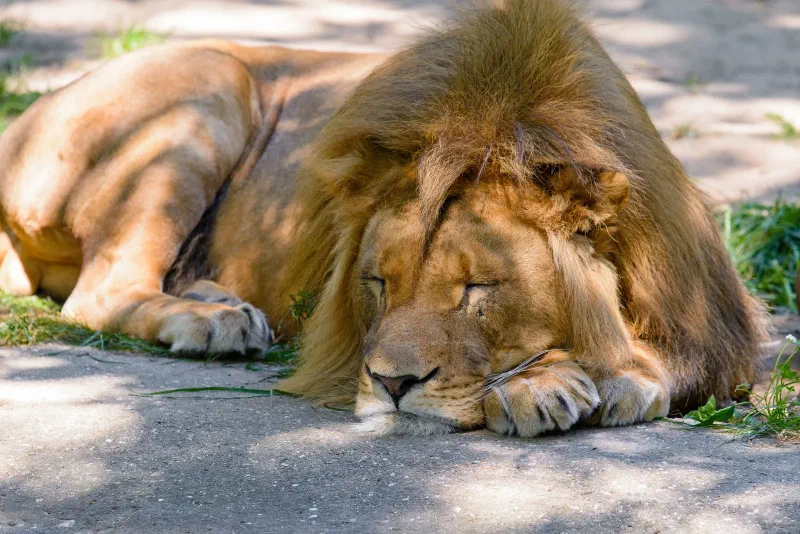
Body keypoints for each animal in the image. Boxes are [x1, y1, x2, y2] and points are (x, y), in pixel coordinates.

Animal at [0, 0, 766, 437]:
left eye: (477, 291)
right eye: (376, 284)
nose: (395, 387)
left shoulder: (711, 322)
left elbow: (669, 360)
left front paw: (586, 376)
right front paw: (544, 383)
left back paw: (227, 303)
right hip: (209, 83)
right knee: (97, 291)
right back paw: (213, 323)